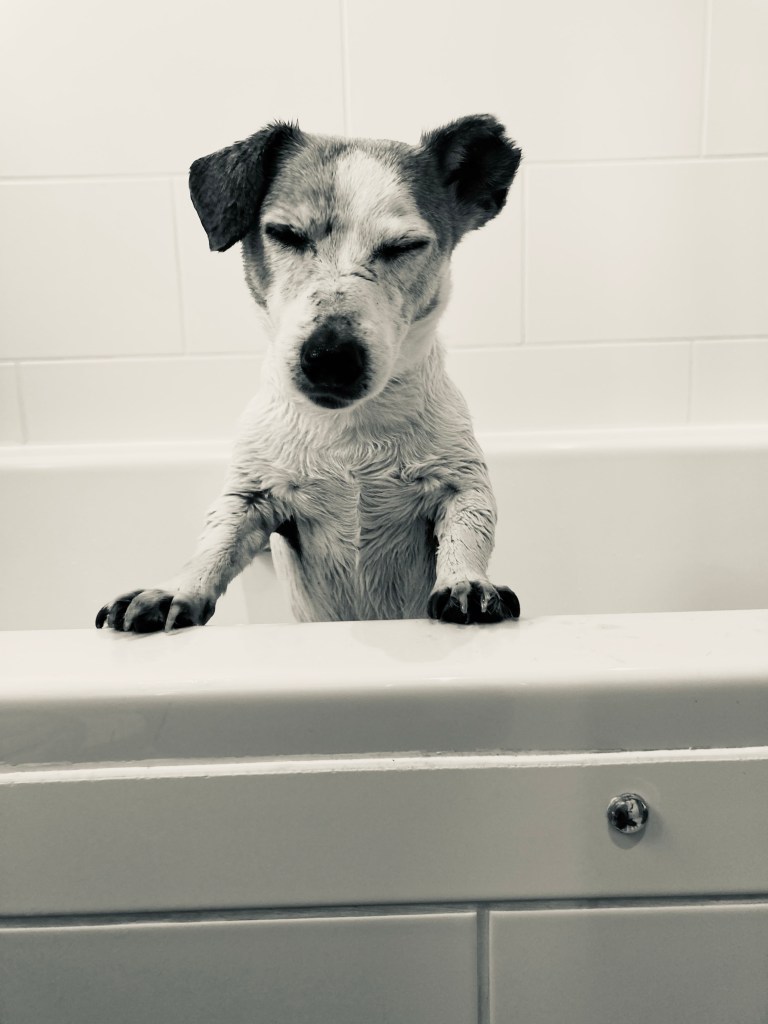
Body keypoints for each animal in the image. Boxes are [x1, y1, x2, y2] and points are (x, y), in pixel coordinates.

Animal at [96, 115, 522, 632]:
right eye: (285, 233)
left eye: (405, 246)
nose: (331, 356)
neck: (350, 435)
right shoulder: (251, 497)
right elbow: (214, 544)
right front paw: (175, 589)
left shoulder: (461, 484)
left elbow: (467, 533)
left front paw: (467, 582)